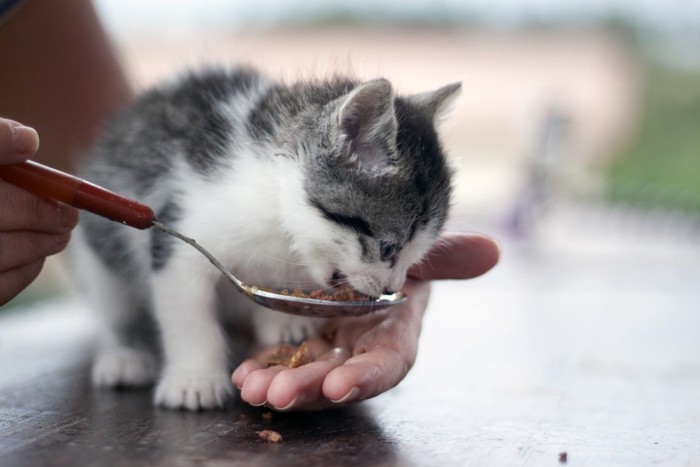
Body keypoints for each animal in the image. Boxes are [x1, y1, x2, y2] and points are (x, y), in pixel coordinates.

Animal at [72, 66, 460, 410]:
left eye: (415, 255)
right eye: (388, 247)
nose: (390, 288)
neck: (277, 210)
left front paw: (284, 320)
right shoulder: (178, 233)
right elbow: (187, 315)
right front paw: (194, 378)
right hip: (97, 253)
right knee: (114, 306)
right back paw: (124, 354)